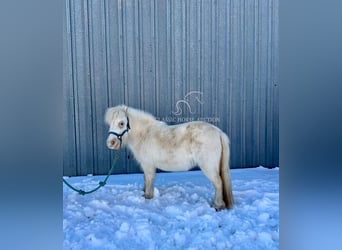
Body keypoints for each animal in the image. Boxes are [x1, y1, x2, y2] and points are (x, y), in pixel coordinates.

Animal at [104, 104, 234, 210]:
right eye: (110, 123)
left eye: (121, 123)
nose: (110, 143)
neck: (144, 135)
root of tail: (218, 132)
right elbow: (145, 180)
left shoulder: (148, 165)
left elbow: (149, 182)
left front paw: (148, 198)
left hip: (209, 167)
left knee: (218, 183)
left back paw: (217, 206)